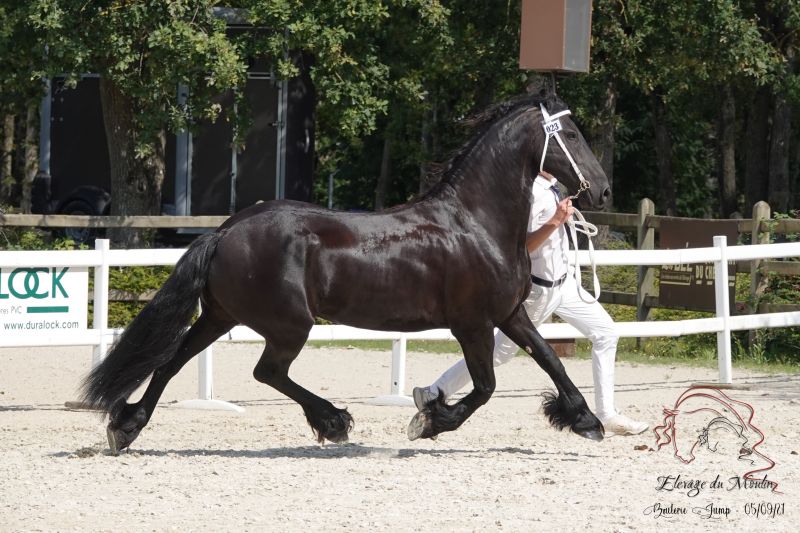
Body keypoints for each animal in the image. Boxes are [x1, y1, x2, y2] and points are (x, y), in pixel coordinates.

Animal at [84, 93, 612, 450]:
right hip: (289, 324)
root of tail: (225, 231)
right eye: (570, 135)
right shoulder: (474, 324)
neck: (477, 223)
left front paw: (586, 420)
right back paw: (333, 422)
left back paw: (125, 427)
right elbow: (485, 387)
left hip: (220, 316)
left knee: (171, 361)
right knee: (266, 371)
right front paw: (428, 421)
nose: (604, 190)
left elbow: (550, 358)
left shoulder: (510, 314)